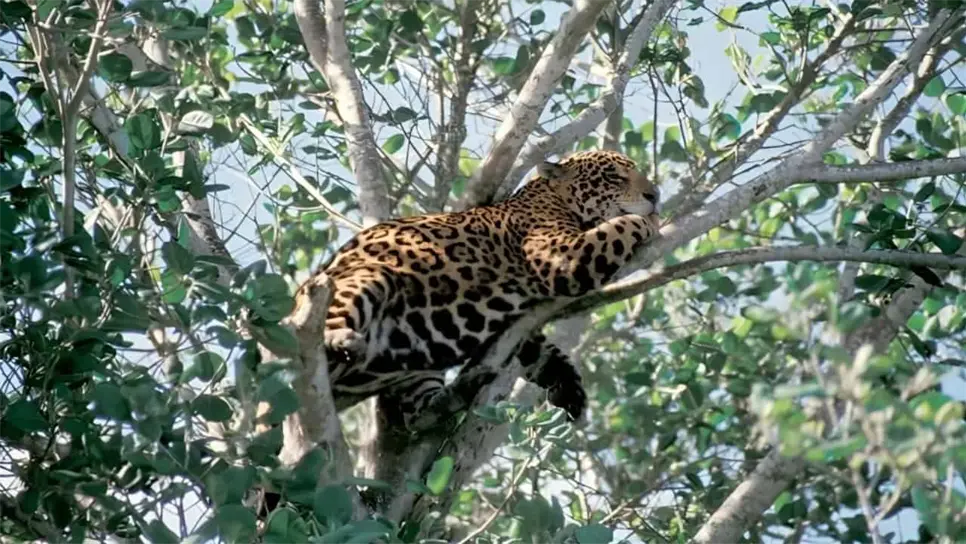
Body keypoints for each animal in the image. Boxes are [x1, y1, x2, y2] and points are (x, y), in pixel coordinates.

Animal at [276, 149, 662, 431]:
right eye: (614, 176)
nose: (655, 195)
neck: (550, 196)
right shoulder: (560, 253)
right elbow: (620, 226)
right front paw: (649, 221)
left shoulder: (522, 325)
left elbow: (544, 351)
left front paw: (570, 390)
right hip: (365, 278)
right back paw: (338, 340)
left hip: (413, 365)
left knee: (417, 416)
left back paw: (452, 398)